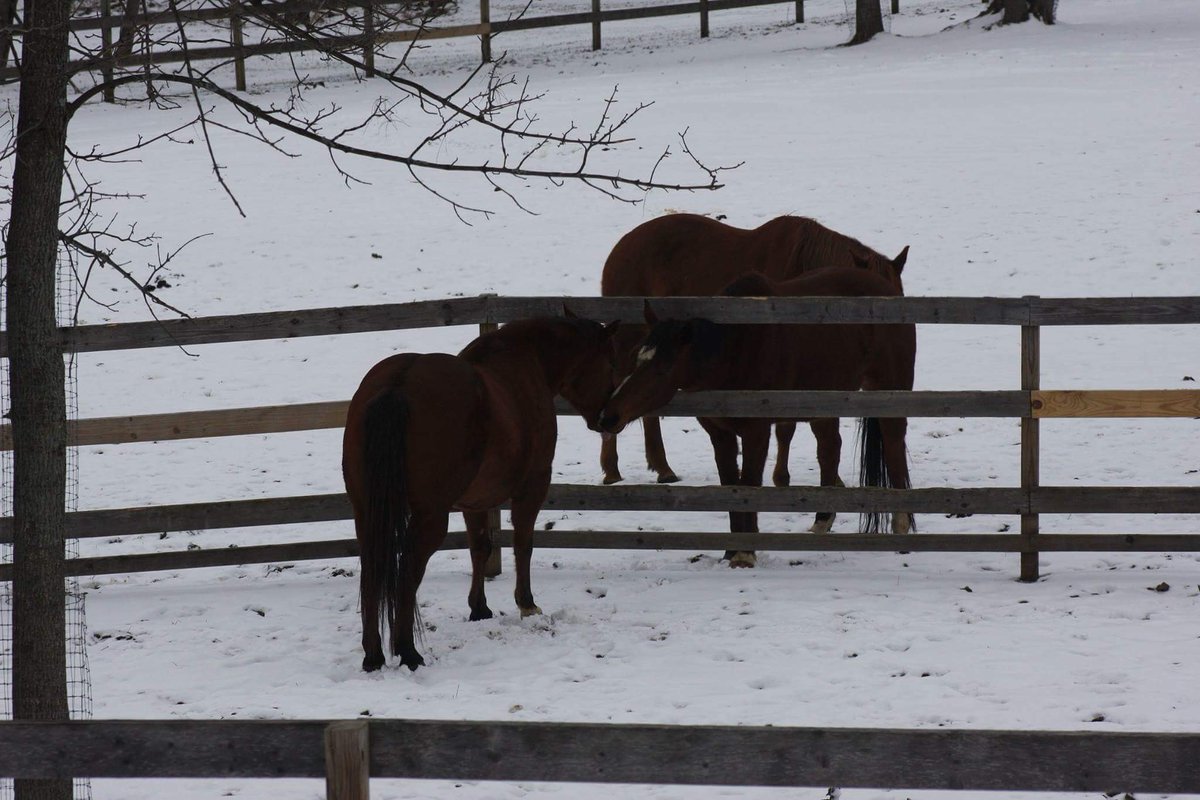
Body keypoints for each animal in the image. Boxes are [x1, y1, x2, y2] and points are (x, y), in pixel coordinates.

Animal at [342, 313, 617, 671]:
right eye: (610, 363)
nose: (609, 419)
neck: (524, 361)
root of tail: (397, 385)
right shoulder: (533, 485)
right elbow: (523, 543)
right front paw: (527, 604)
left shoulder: (473, 501)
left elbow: (481, 547)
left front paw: (479, 608)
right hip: (429, 517)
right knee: (408, 573)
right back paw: (408, 651)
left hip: (366, 512)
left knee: (373, 572)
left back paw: (373, 655)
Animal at [597, 267, 916, 569]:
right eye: (636, 357)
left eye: (663, 369)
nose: (609, 416)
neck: (736, 348)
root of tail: (886, 288)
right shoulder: (720, 435)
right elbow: (730, 486)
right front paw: (730, 551)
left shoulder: (756, 430)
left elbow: (748, 484)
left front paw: (745, 554)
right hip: (825, 399)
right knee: (829, 448)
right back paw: (821, 523)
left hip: (889, 390)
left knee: (893, 446)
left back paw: (901, 528)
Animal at [599, 212, 909, 494]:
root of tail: (622, 246)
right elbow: (785, 428)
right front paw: (782, 477)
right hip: (629, 339)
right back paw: (612, 468)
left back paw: (662, 467)